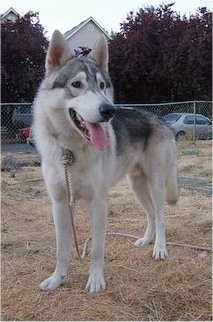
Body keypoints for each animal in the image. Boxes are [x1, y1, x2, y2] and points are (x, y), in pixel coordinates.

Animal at [32, 30, 178, 294]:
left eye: (101, 86)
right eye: (76, 84)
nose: (109, 110)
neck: (71, 150)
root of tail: (162, 120)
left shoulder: (98, 203)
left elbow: (97, 249)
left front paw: (96, 281)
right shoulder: (59, 204)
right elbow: (61, 250)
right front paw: (57, 279)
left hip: (156, 185)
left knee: (161, 217)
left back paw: (159, 248)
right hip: (136, 186)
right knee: (151, 215)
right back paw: (145, 240)